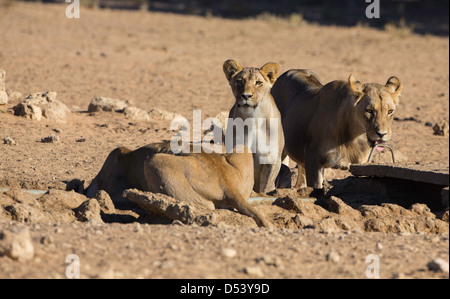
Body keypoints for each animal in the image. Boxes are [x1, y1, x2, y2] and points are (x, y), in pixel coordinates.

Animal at [223, 59, 286, 195]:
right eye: (239, 82)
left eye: (258, 83)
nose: (246, 96)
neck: (253, 118)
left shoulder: (272, 159)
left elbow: (266, 187)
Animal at [268, 69, 402, 192]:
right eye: (369, 110)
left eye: (390, 111)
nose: (382, 134)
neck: (355, 135)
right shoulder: (313, 160)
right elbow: (316, 188)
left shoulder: (362, 163)